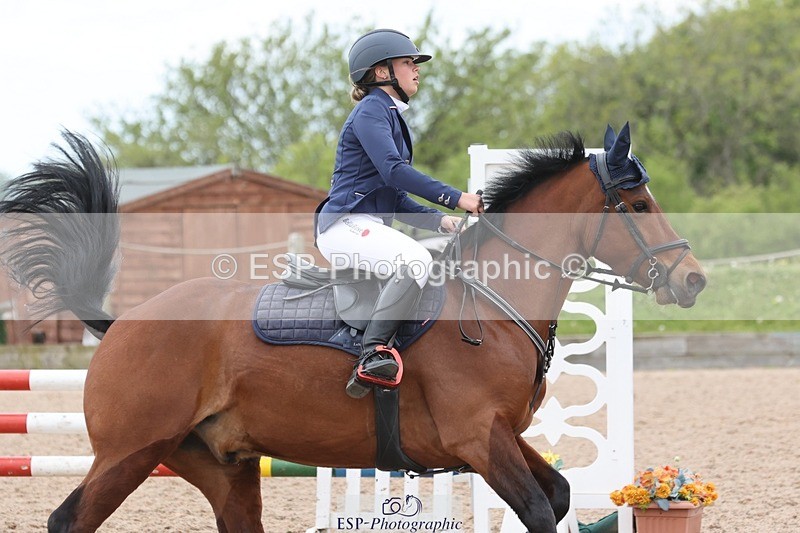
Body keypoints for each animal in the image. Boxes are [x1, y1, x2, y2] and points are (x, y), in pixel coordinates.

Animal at [0, 123, 705, 532]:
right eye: (638, 204)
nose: (693, 280)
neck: (491, 304)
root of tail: (124, 322)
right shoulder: (478, 436)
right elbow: (536, 508)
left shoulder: (499, 434)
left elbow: (558, 495)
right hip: (131, 451)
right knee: (68, 522)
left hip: (220, 466)